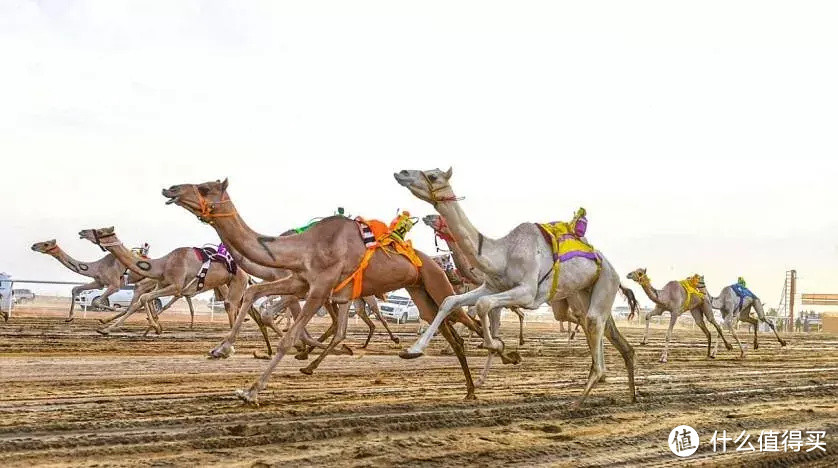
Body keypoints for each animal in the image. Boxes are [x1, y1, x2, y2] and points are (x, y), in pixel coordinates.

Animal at [163, 179, 488, 406]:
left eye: (205, 188)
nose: (171, 189)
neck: (305, 246)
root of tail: (434, 264)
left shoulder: (319, 290)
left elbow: (288, 338)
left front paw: (251, 391)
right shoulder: (301, 283)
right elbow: (255, 292)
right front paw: (221, 349)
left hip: (435, 284)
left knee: (466, 318)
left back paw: (491, 364)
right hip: (421, 292)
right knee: (450, 330)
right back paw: (470, 389)